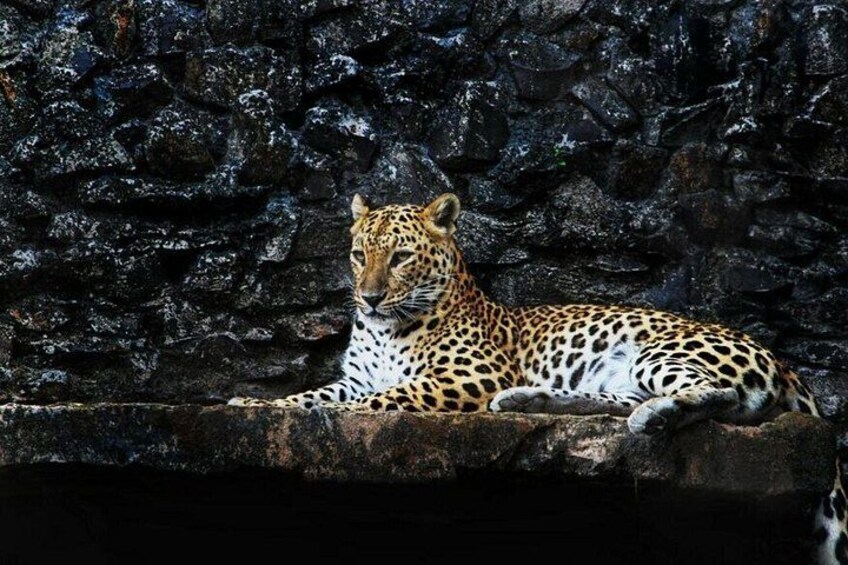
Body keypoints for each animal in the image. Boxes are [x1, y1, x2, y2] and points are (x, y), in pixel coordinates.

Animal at [229, 193, 846, 564]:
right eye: (359, 255)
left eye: (401, 257)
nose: (370, 297)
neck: (383, 329)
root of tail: (783, 360)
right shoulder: (355, 377)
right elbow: (309, 392)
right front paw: (254, 406)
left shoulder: (471, 374)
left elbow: (394, 394)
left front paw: (345, 416)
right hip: (624, 373)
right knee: (614, 403)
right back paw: (528, 400)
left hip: (660, 353)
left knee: (718, 398)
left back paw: (653, 415)